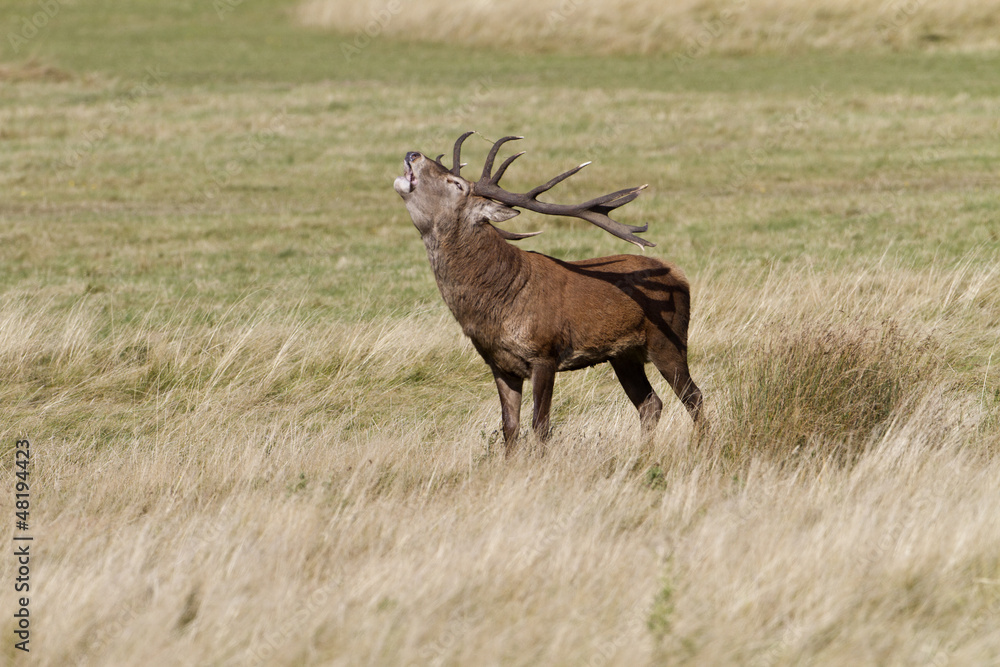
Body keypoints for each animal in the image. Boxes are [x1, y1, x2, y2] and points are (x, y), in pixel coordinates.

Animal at [393, 131, 702, 455]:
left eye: (457, 184)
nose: (413, 153)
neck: (498, 303)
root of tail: (679, 274)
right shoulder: (499, 364)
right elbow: (509, 428)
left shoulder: (544, 352)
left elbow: (540, 425)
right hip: (624, 356)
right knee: (650, 403)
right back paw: (643, 454)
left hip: (669, 339)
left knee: (694, 397)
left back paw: (702, 445)